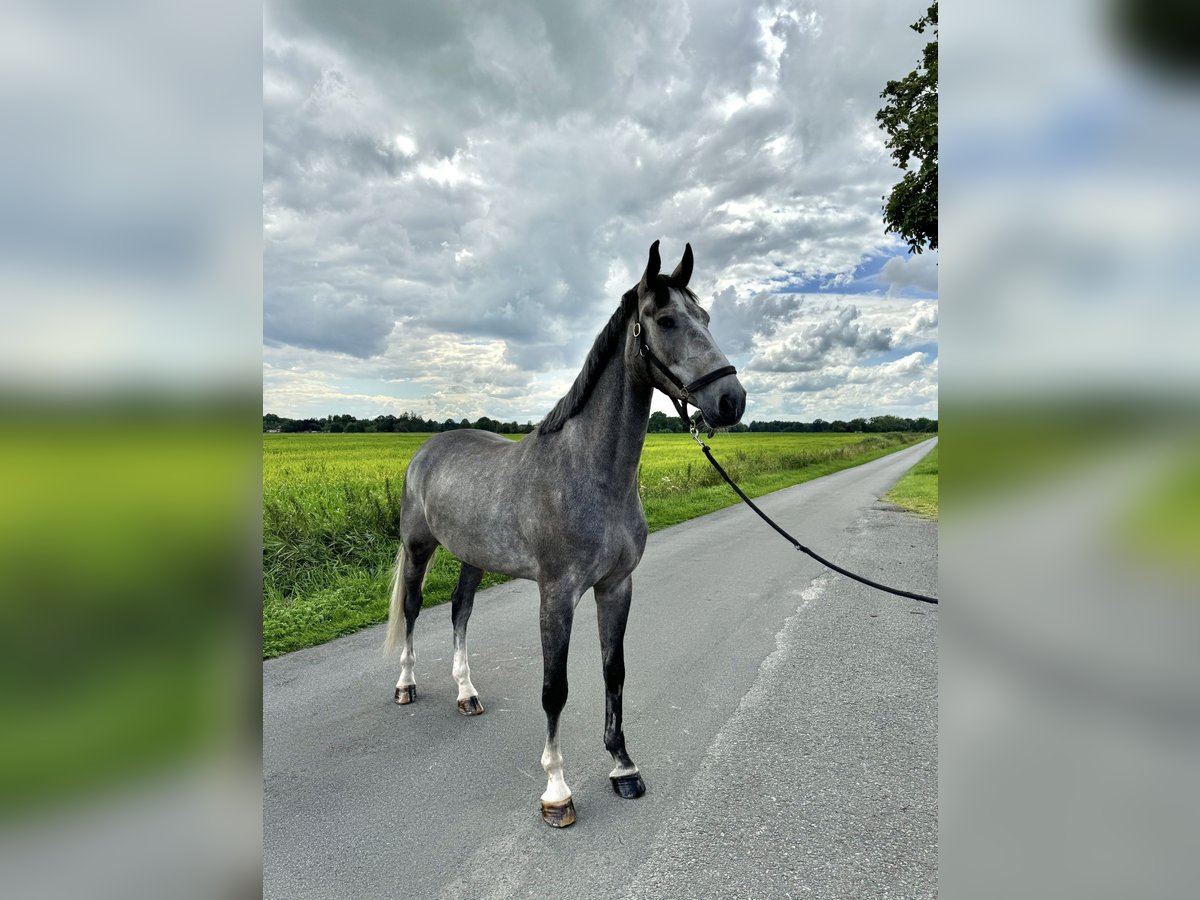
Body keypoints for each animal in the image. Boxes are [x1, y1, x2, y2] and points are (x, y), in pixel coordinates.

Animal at [384, 241, 744, 830]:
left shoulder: (616, 586)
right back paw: (406, 685)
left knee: (461, 610)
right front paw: (556, 790)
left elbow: (613, 671)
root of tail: (427, 449)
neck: (590, 474)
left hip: (472, 557)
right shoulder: (556, 596)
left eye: (707, 318)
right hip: (419, 549)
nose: (731, 400)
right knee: (414, 610)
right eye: (664, 319)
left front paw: (623, 767)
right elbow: (556, 689)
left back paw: (467, 693)